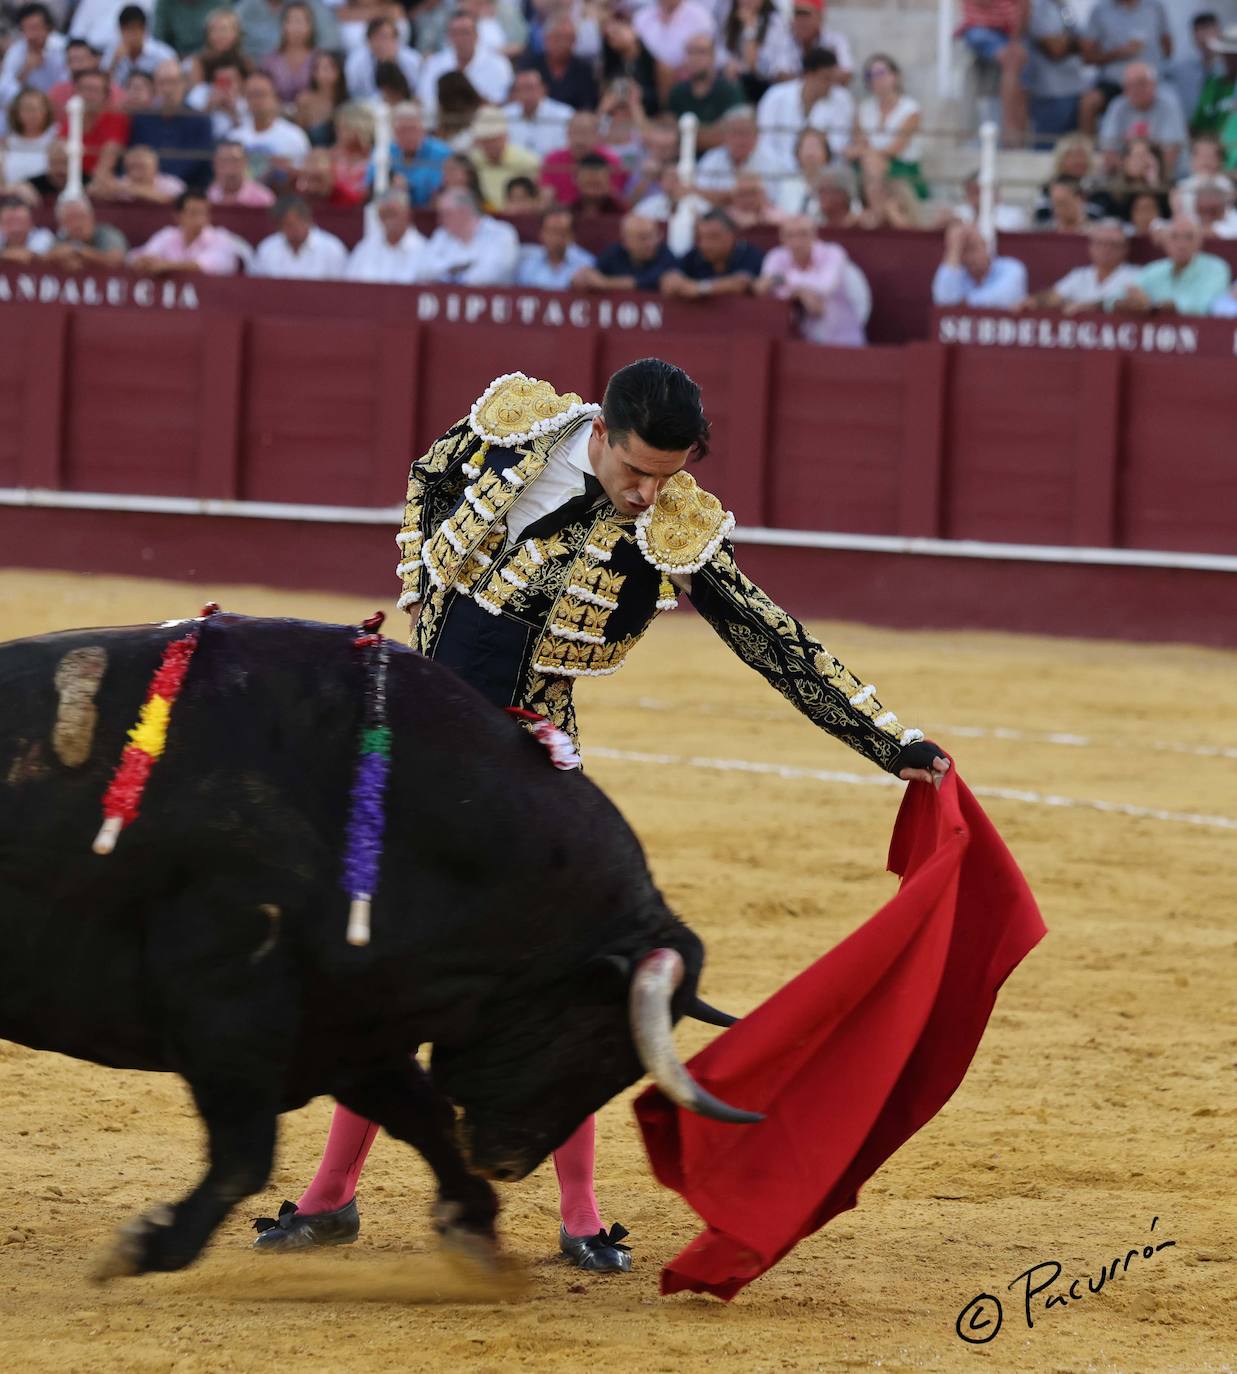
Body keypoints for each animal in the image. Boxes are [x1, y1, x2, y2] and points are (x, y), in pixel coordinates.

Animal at [0, 612, 753, 1275]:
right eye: (599, 1039)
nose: (509, 1162)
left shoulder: (352, 1018)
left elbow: (424, 1119)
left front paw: (475, 1232)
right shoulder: (230, 1002)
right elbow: (247, 1154)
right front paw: (149, 1247)